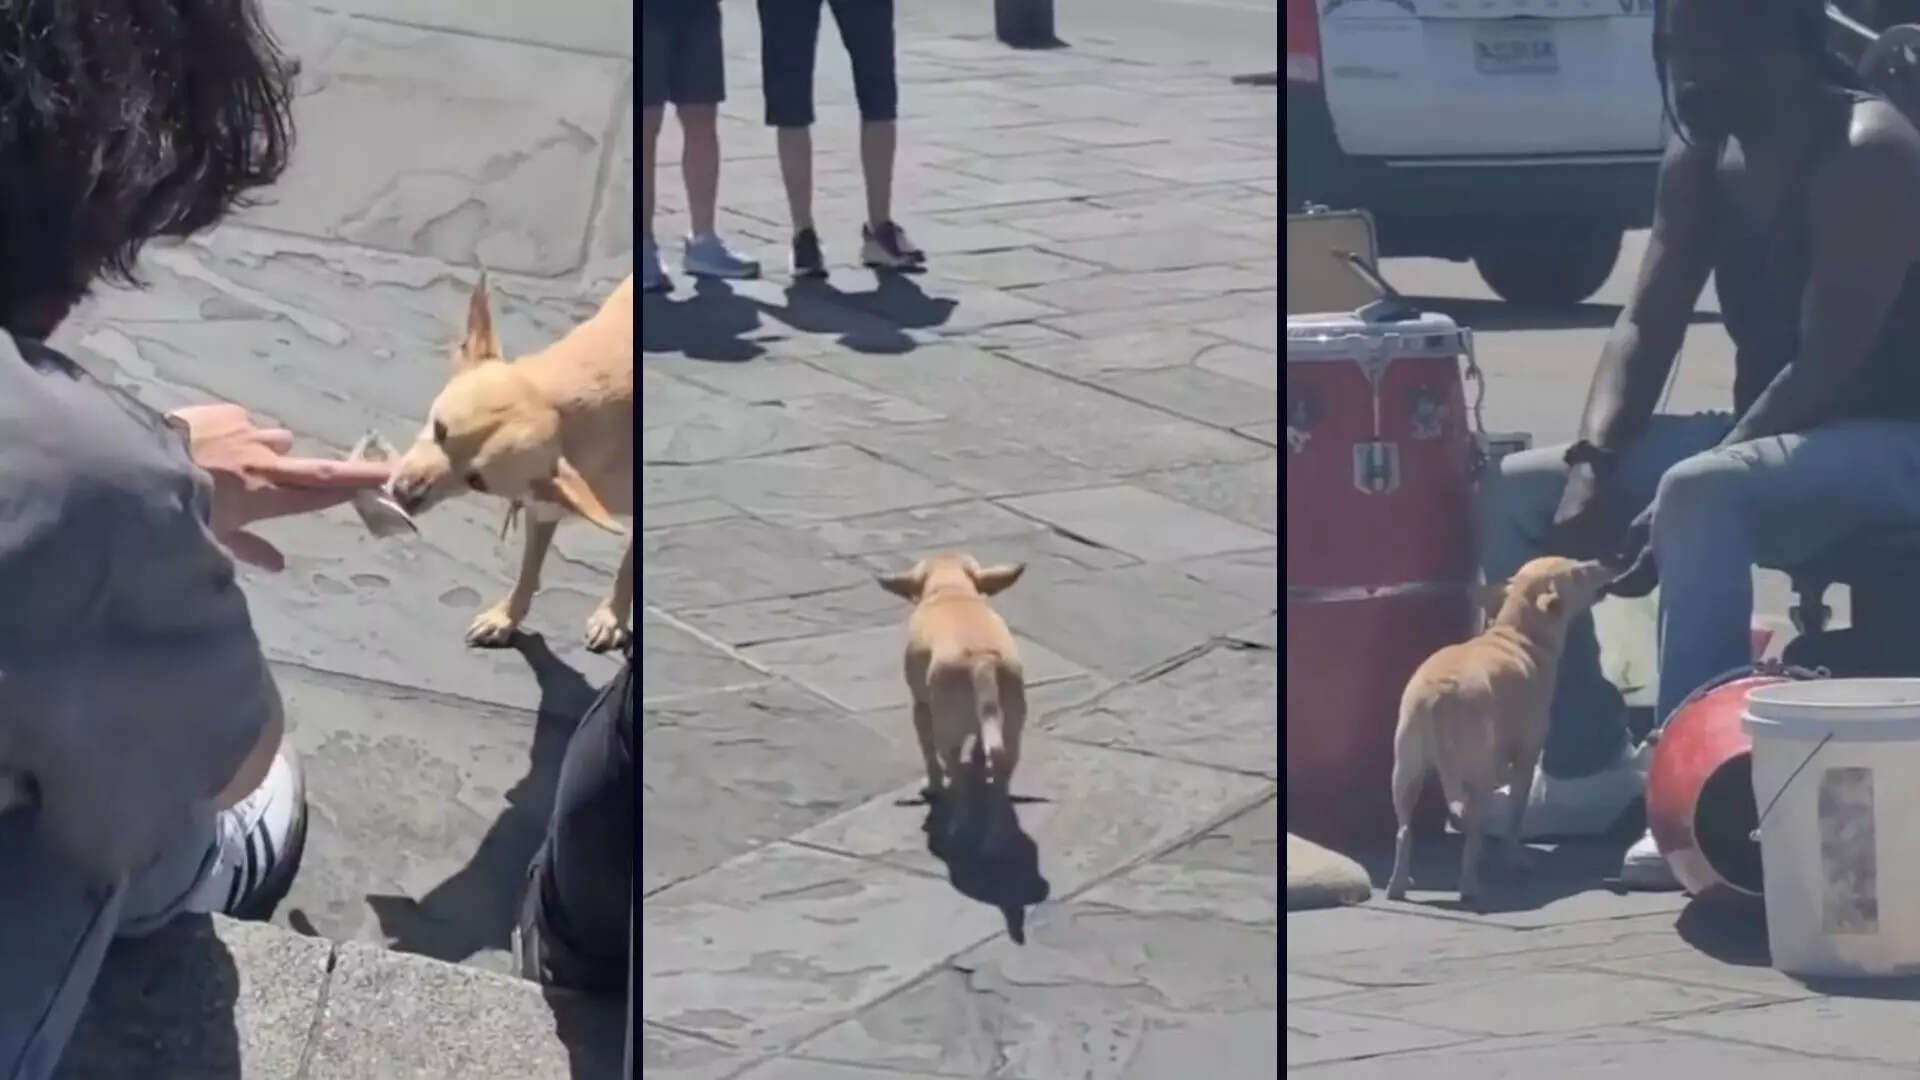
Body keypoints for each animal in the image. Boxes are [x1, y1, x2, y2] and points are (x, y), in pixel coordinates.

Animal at [389, 272, 637, 653]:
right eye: (440, 429)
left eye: (477, 482)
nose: (403, 492)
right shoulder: (543, 504)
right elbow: (528, 569)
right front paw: (506, 617)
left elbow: (628, 568)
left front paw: (612, 617)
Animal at [879, 553, 1029, 849]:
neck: (952, 588)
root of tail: (983, 662)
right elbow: (981, 748)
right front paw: (979, 762)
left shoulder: (921, 708)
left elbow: (929, 755)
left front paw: (933, 786)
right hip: (1012, 728)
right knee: (1001, 773)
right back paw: (995, 836)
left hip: (946, 731)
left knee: (955, 775)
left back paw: (956, 827)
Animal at [1382, 553, 1620, 899]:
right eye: (1577, 572)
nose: (1606, 563)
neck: (1517, 632)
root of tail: (1439, 696)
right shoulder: (1526, 756)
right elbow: (1514, 815)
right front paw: (1515, 858)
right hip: (1474, 775)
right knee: (1472, 835)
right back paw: (1470, 885)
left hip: (1405, 771)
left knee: (1404, 831)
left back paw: (1399, 883)